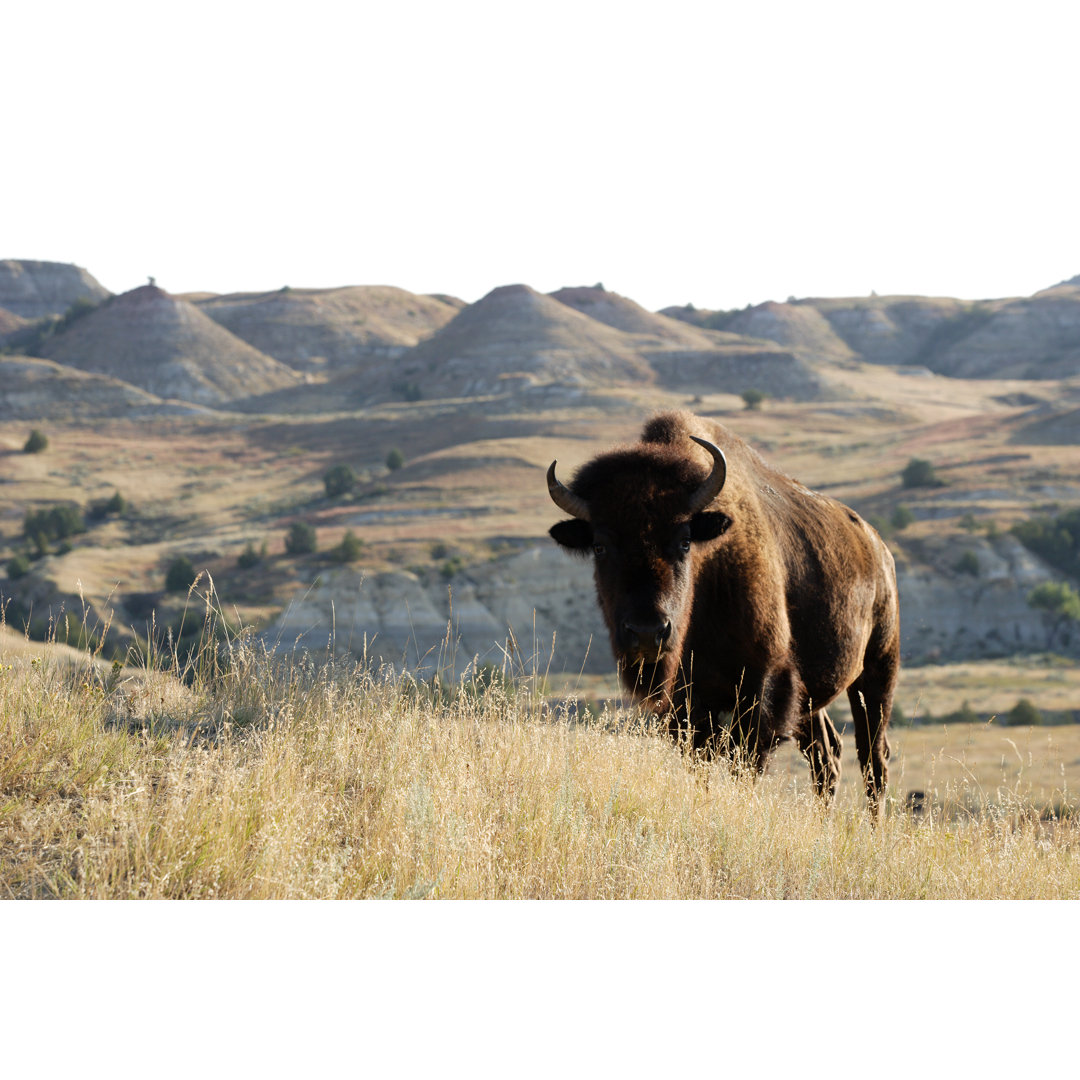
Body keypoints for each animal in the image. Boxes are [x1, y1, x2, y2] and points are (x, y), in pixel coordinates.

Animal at [548, 408, 902, 812]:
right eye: (600, 546)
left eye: (684, 542)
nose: (647, 633)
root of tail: (879, 549)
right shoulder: (687, 706)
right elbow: (701, 765)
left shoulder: (761, 689)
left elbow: (742, 765)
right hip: (814, 697)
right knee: (827, 755)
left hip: (877, 669)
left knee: (873, 756)